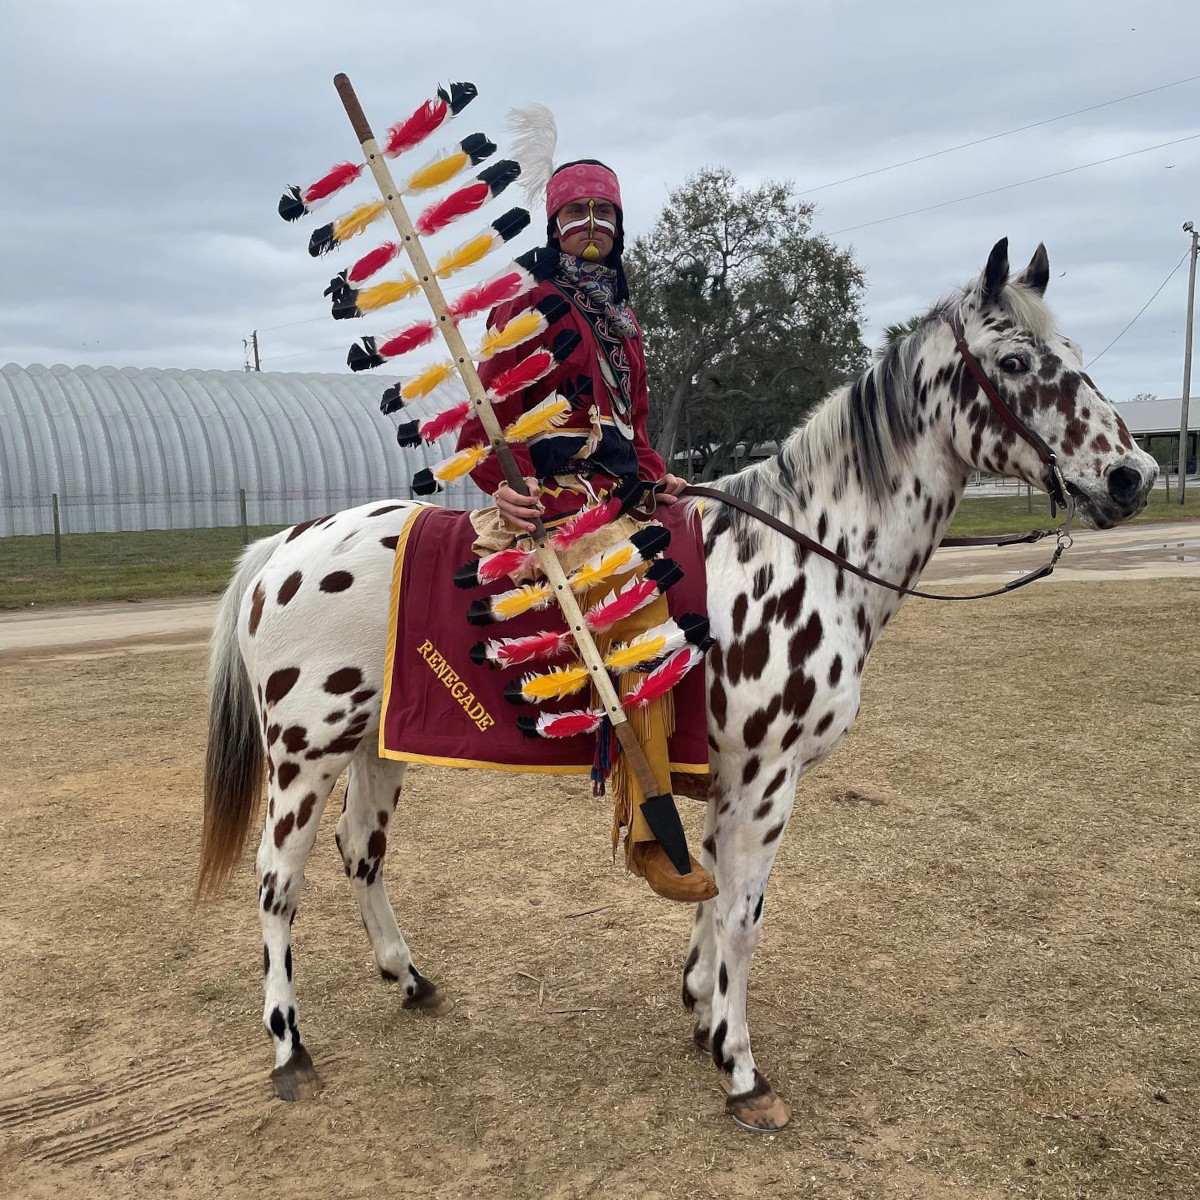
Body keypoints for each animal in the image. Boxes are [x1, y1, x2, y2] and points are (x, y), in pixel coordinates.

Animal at [199, 238, 1161, 1128]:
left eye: (1073, 351)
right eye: (1016, 363)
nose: (1133, 476)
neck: (809, 549)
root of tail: (280, 550)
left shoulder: (735, 780)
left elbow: (721, 896)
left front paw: (703, 1006)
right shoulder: (768, 776)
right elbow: (742, 910)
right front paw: (740, 1067)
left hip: (375, 744)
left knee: (361, 853)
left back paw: (409, 979)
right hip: (305, 755)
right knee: (278, 883)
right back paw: (289, 1047)